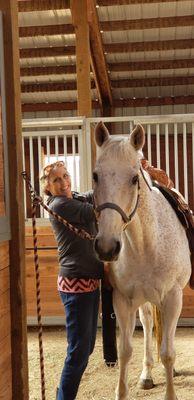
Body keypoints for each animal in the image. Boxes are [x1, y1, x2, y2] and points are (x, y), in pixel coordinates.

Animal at [92, 122, 191, 400]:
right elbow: (125, 351)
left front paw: (171, 393)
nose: (106, 247)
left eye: (134, 178)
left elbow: (168, 352)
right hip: (143, 300)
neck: (146, 244)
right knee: (147, 323)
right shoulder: (122, 301)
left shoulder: (173, 298)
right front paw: (122, 391)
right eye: (95, 176)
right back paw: (147, 374)